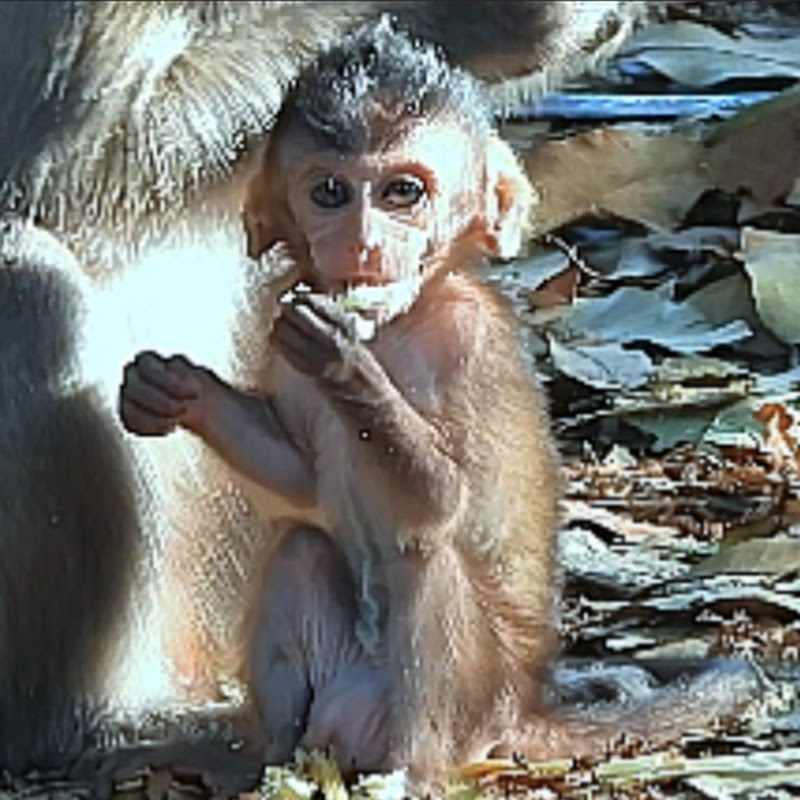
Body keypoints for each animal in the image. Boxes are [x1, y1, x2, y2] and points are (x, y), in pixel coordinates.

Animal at [117, 19, 758, 791]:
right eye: (330, 192)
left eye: (402, 192)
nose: (362, 241)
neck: (400, 321)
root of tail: (521, 707)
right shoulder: (275, 331)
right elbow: (303, 487)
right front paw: (175, 390)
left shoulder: (467, 342)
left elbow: (443, 502)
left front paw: (345, 361)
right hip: (344, 698)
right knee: (301, 550)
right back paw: (264, 762)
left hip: (475, 706)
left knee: (429, 559)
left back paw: (411, 774)